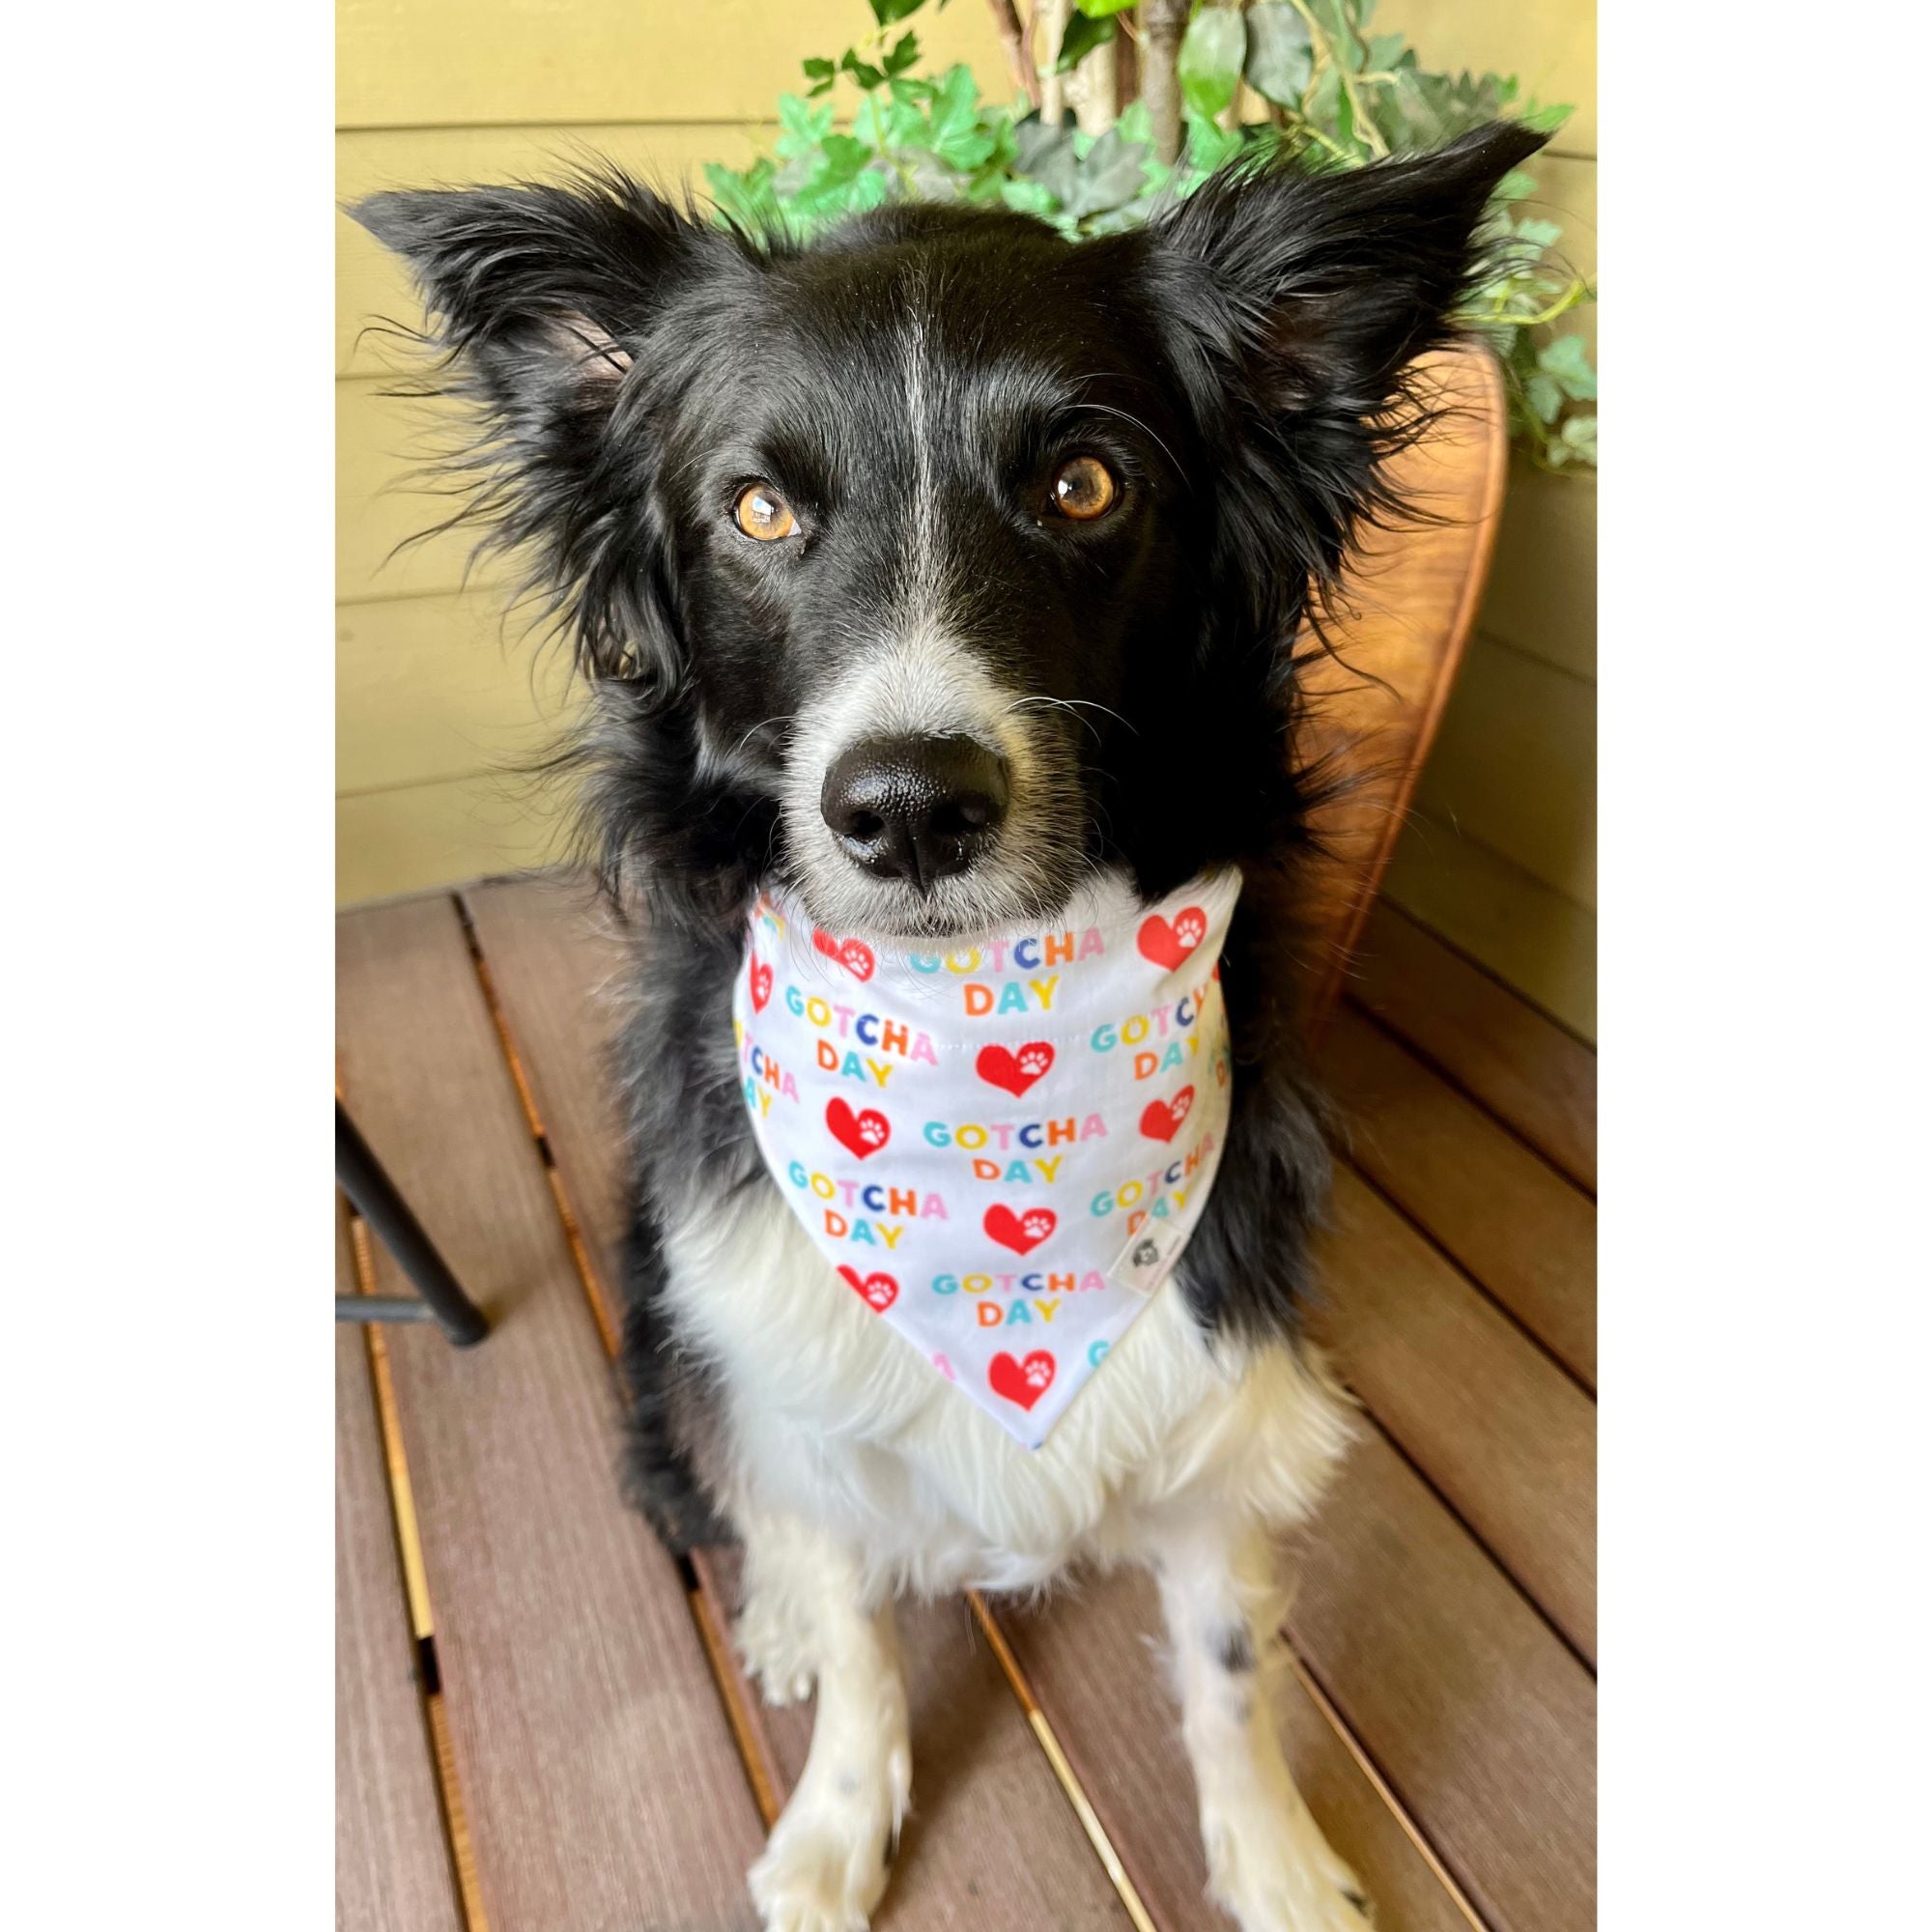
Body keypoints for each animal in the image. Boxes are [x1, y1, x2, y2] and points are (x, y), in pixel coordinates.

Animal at [359, 113, 1538, 1924]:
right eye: (759, 506)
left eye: (1084, 484)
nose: (911, 810)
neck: (988, 1050)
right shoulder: (775, 1364)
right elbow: (853, 1636)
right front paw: (834, 1834)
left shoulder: (1224, 1390)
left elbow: (1230, 1670)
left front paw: (1276, 1862)